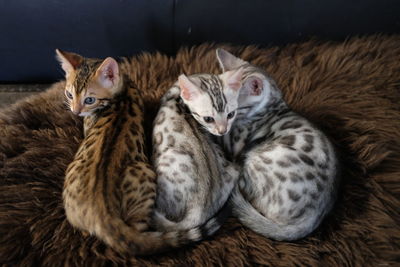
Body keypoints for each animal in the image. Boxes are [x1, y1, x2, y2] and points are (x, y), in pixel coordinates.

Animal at [56, 49, 225, 256]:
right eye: (69, 94)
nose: (75, 111)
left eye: (89, 99)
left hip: (147, 176)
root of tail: (102, 213)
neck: (123, 92)